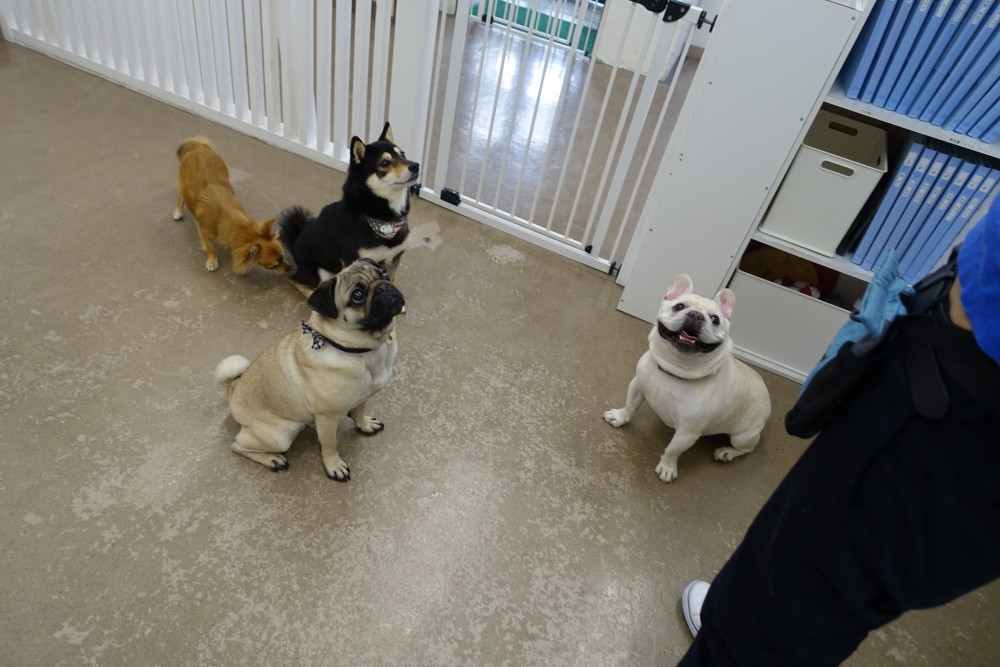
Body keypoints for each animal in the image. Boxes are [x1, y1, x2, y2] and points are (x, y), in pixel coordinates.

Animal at [173, 137, 289, 274]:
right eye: (273, 266)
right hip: (183, 186)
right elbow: (210, 246)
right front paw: (212, 260)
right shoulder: (203, 231)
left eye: (283, 256)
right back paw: (177, 211)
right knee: (181, 197)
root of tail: (199, 146)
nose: (289, 268)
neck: (227, 218)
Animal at [214, 259, 405, 480]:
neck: (362, 350)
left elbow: (358, 412)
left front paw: (364, 425)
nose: (384, 287)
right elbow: (330, 445)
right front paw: (334, 466)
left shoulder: (363, 397)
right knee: (237, 445)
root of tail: (232, 390)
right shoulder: (326, 419)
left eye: (384, 274)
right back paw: (272, 459)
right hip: (281, 436)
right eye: (357, 295)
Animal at [278, 122, 419, 297]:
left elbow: (389, 281)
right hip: (320, 272)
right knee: (294, 281)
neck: (382, 220)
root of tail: (295, 244)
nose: (416, 165)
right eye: (385, 163)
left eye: (403, 154)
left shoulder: (394, 258)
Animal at [604, 273, 771, 483]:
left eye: (715, 319)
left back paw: (727, 452)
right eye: (679, 306)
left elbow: (672, 450)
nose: (696, 315)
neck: (674, 370)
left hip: (742, 436)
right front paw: (620, 417)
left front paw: (667, 467)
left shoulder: (687, 432)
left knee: (747, 448)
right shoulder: (637, 386)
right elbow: (630, 406)